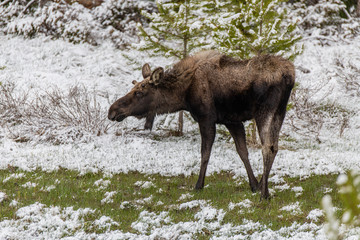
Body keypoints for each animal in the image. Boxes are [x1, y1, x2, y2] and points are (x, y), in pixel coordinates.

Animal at [108, 51, 294, 201]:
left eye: (140, 92)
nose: (112, 110)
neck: (183, 95)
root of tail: (289, 75)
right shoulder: (232, 120)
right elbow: (242, 152)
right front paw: (254, 184)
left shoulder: (206, 118)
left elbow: (205, 153)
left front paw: (198, 185)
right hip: (280, 111)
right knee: (274, 147)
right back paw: (263, 186)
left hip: (265, 111)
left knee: (267, 147)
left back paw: (265, 194)